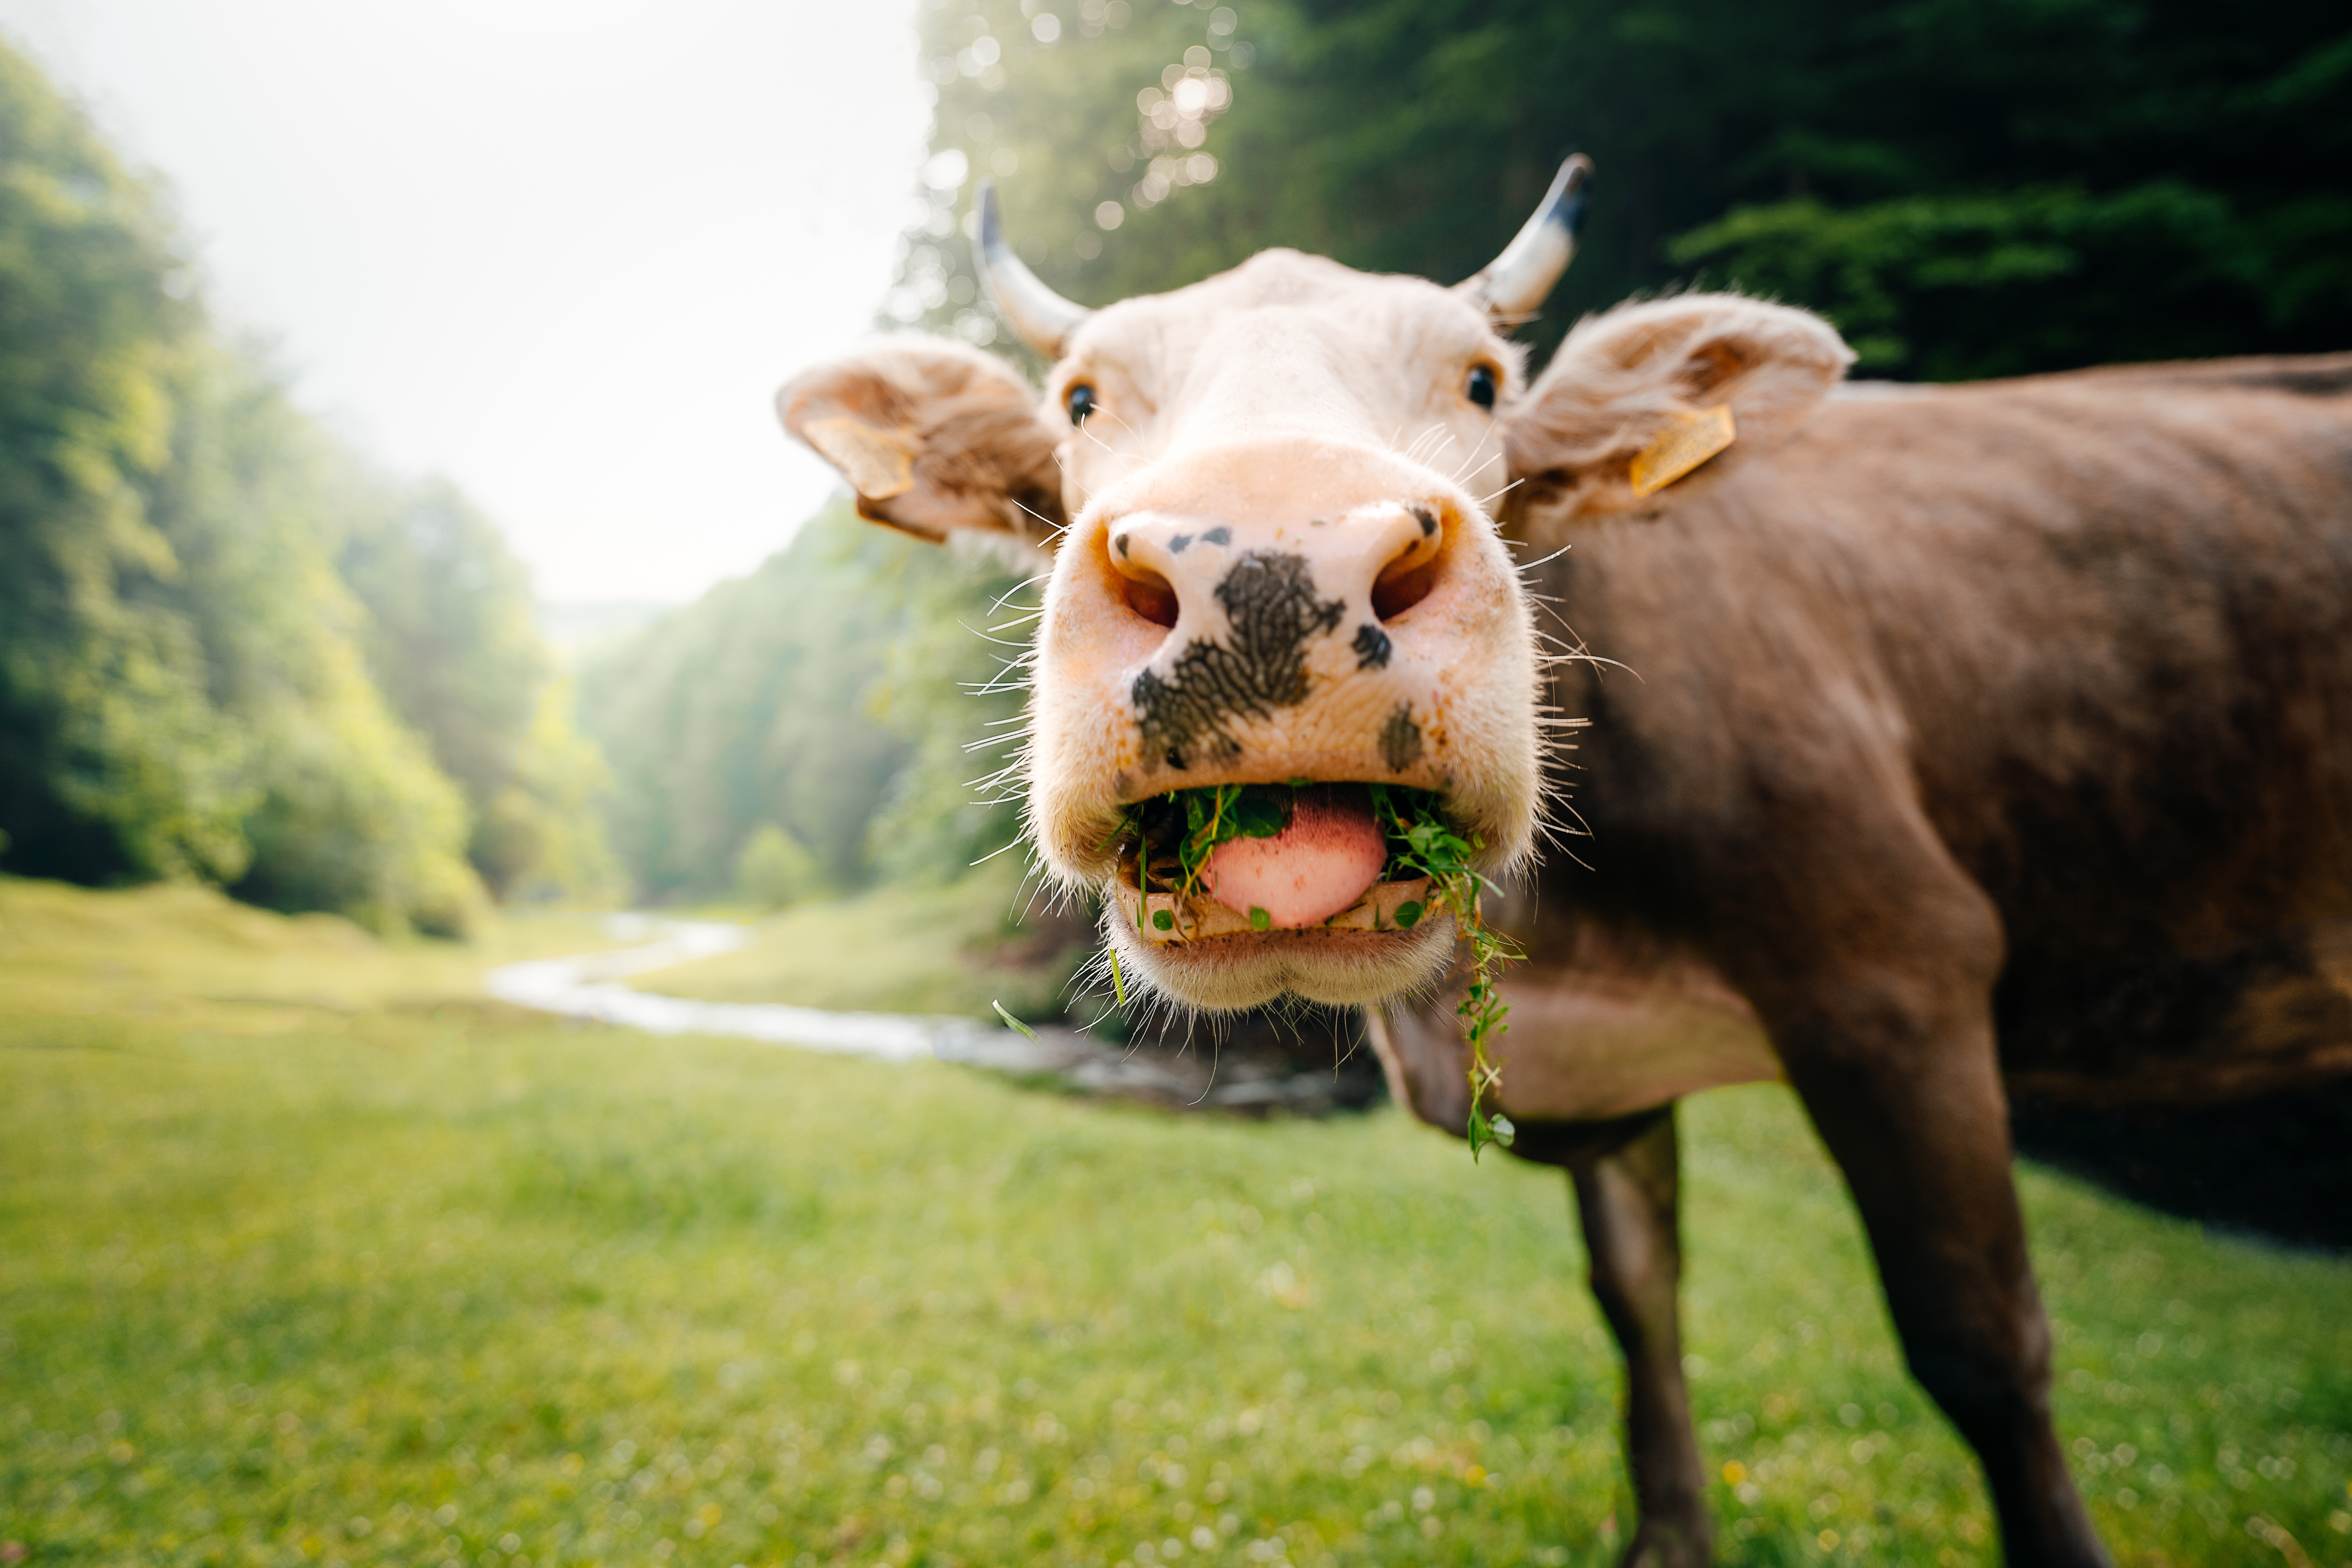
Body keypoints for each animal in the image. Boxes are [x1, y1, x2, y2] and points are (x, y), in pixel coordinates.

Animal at [775, 156, 2352, 1567]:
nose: (1268, 571)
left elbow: (1980, 1344)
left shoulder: (1897, 974)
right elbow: (1636, 1297)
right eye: (1082, 399)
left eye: (1482, 382)